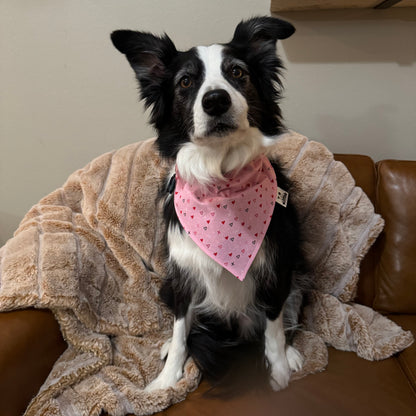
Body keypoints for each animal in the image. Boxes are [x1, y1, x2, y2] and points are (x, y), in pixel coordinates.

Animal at [112, 16, 308, 394]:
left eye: (237, 72)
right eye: (186, 81)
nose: (216, 100)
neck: (221, 175)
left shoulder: (276, 266)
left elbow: (274, 328)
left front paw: (279, 371)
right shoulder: (183, 274)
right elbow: (180, 331)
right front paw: (166, 380)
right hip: (167, 285)